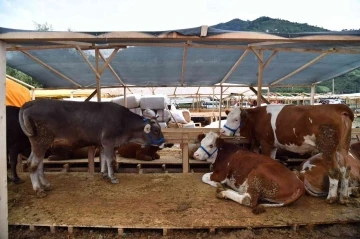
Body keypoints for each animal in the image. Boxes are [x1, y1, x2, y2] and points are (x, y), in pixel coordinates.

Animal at [19, 98, 165, 197]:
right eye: (156, 130)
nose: (164, 143)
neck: (124, 123)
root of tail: (31, 103)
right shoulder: (108, 142)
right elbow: (110, 160)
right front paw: (113, 177)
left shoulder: (102, 144)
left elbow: (104, 159)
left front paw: (104, 174)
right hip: (41, 141)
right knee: (33, 164)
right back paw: (39, 189)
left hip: (39, 143)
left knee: (36, 163)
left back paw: (46, 185)